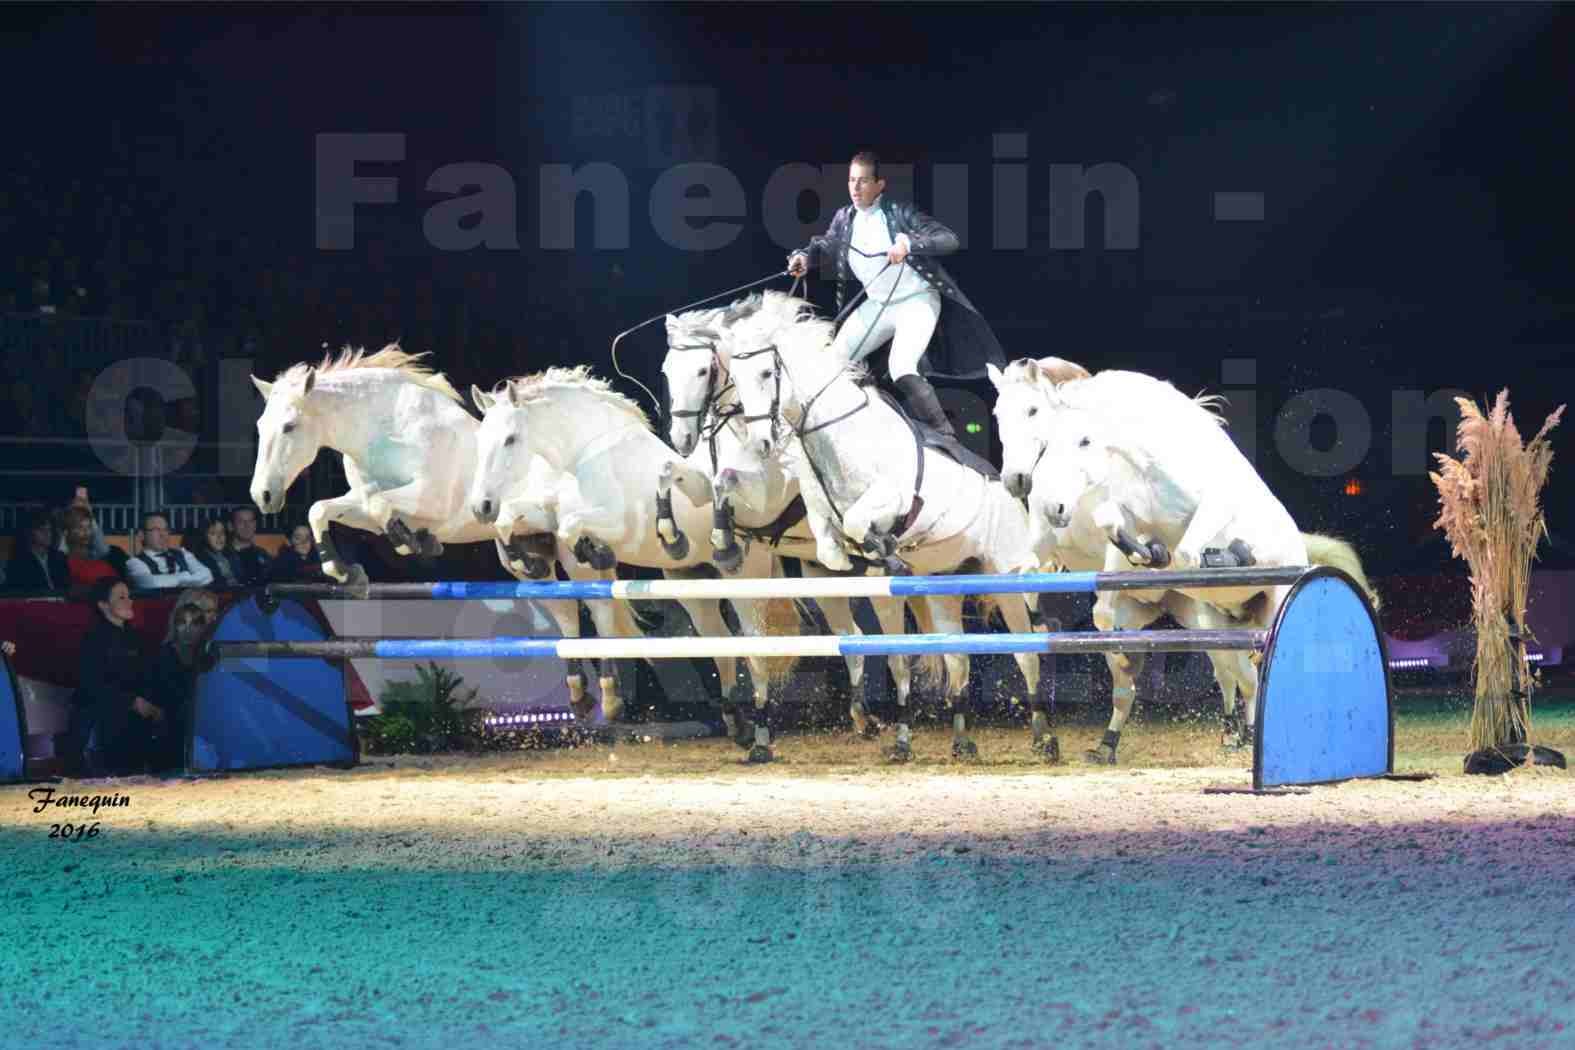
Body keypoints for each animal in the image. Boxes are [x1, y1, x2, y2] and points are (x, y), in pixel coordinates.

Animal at [245, 344, 633, 724]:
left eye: (290, 426)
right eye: (261, 425)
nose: (262, 496)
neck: (387, 430)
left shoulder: (431, 498)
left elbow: (380, 505)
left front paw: (413, 542)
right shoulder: (362, 505)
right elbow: (325, 509)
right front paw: (348, 572)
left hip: (572, 548)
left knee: (599, 606)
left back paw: (611, 696)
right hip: (534, 551)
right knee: (564, 607)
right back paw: (579, 694)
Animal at [459, 369, 800, 765]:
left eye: (511, 439)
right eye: (481, 439)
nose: (481, 506)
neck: (584, 451)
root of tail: (757, 525)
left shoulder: (618, 527)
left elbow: (574, 529)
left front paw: (596, 552)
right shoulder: (548, 515)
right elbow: (520, 523)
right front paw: (529, 556)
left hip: (745, 581)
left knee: (757, 650)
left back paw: (761, 738)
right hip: (692, 586)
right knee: (723, 643)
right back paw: (737, 725)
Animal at [724, 299, 1058, 758]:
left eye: (764, 373)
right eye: (735, 377)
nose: (761, 444)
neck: (839, 435)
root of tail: (1010, 490)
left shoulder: (894, 499)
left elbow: (859, 521)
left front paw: (887, 550)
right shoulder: (820, 518)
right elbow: (832, 543)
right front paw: (875, 552)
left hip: (1008, 575)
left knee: (1028, 652)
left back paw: (1045, 738)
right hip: (946, 583)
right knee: (958, 658)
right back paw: (961, 741)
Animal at [995, 357, 1379, 752]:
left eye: (1033, 411)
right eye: (997, 415)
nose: (1019, 482)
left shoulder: (1211, 507)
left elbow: (1180, 557)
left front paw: (1185, 556)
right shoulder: (1106, 522)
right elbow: (1067, 557)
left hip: (1267, 605)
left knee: (1248, 671)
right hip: (1213, 621)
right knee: (1230, 671)